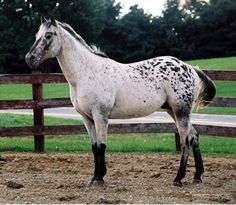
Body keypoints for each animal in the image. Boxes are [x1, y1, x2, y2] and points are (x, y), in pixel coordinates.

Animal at [25, 17, 216, 187]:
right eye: (36, 34)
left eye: (49, 35)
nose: (30, 58)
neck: (86, 72)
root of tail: (191, 68)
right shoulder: (87, 118)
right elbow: (94, 147)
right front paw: (93, 178)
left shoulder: (100, 115)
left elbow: (101, 146)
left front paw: (100, 179)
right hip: (173, 111)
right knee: (194, 136)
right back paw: (197, 176)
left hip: (181, 111)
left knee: (185, 140)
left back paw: (178, 179)